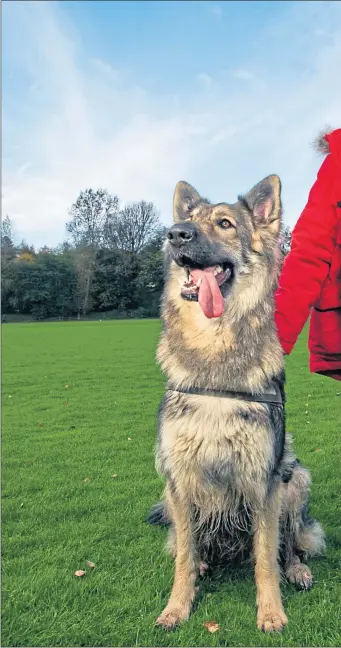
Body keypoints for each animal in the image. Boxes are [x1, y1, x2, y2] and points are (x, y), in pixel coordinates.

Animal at [147, 175, 324, 632]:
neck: (214, 352)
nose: (175, 234)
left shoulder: (264, 482)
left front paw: (272, 612)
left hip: (294, 479)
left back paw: (297, 569)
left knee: (289, 546)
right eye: (188, 219)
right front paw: (177, 607)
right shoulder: (179, 477)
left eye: (225, 224)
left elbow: (265, 560)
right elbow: (184, 557)